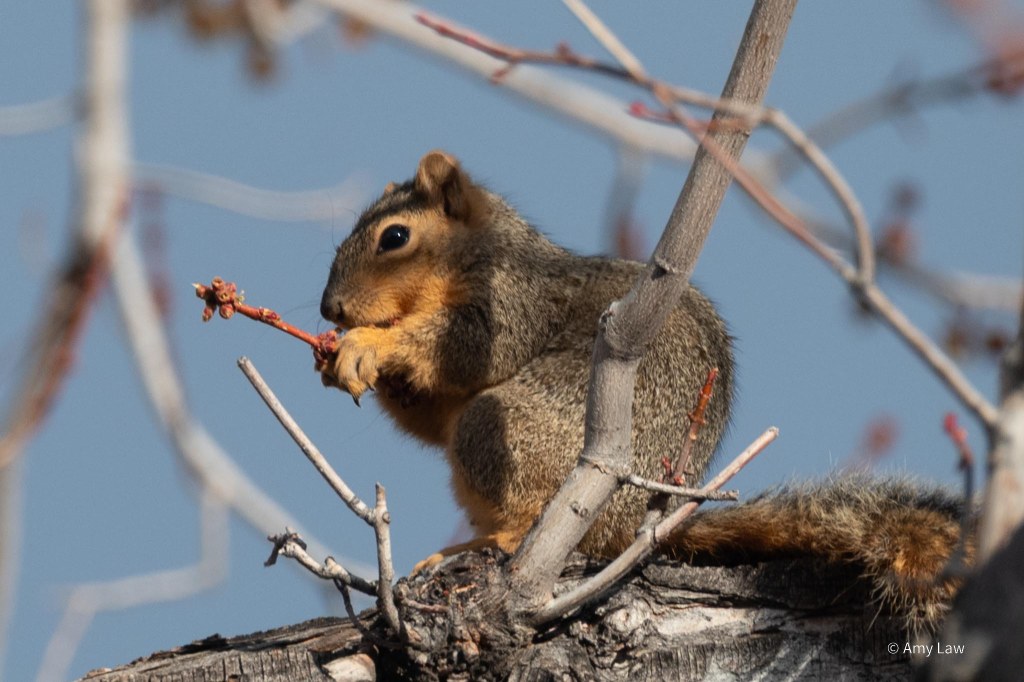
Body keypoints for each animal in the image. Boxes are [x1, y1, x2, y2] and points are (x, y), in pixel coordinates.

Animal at [319, 150, 970, 632]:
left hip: (507, 428)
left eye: (395, 236)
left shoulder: (513, 303)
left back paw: (481, 546)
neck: (476, 254)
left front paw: (368, 343)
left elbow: (461, 349)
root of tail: (640, 519)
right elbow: (429, 418)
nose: (331, 309)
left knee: (525, 512)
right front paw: (340, 359)